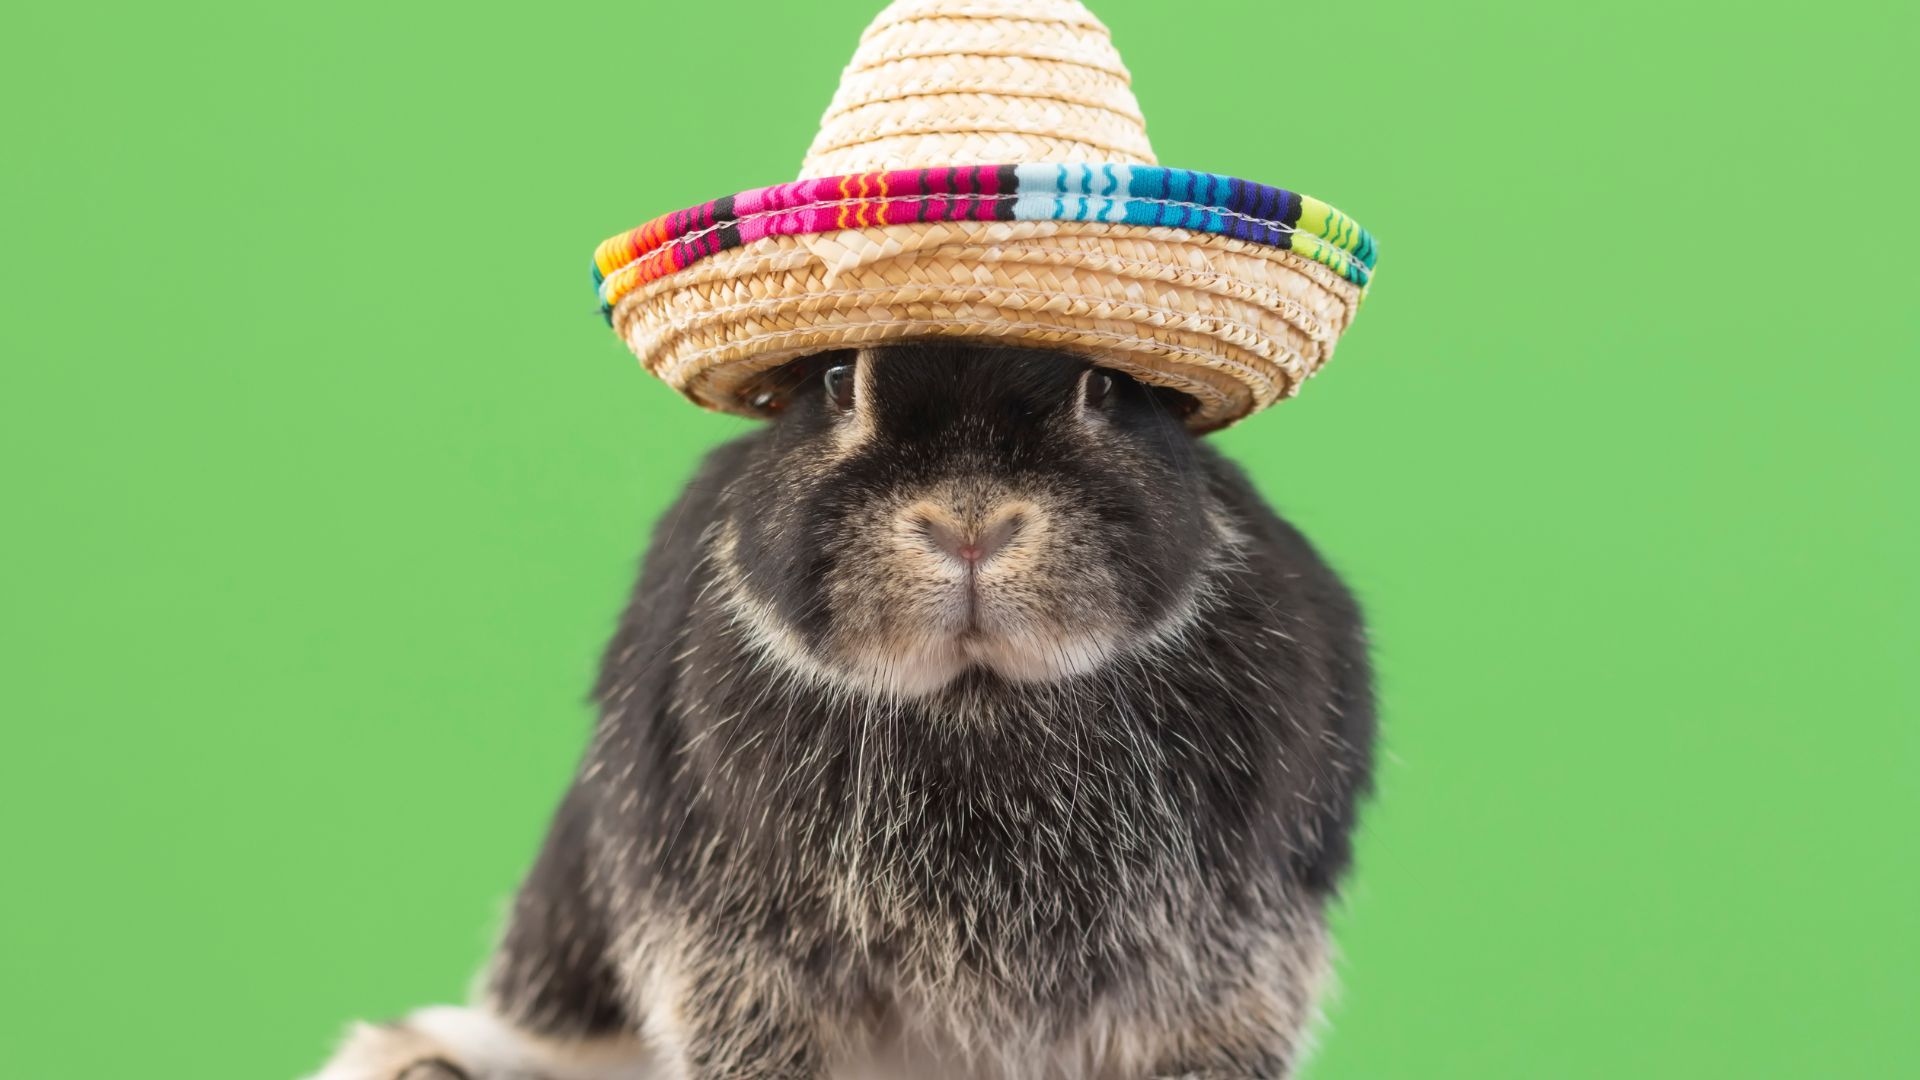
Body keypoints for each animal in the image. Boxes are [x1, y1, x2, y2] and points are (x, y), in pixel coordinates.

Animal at [310, 342, 1376, 1080]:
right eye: (834, 381)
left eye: (1108, 388)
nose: (969, 526)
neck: (972, 697)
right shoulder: (732, 962)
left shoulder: (1224, 972)